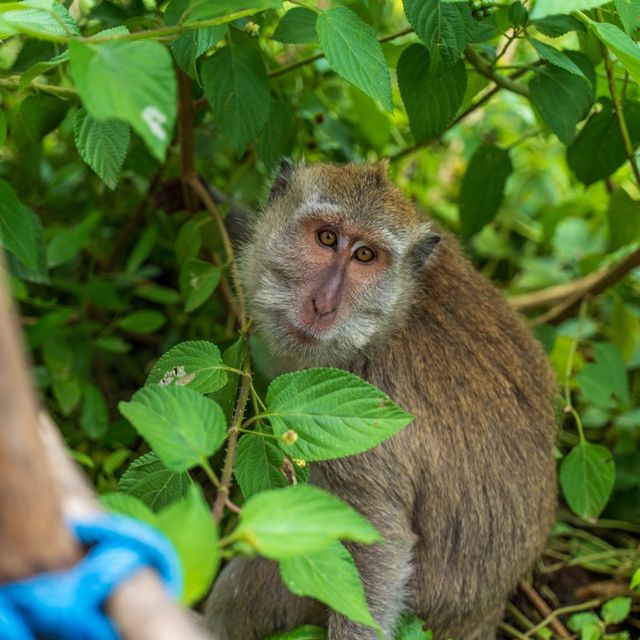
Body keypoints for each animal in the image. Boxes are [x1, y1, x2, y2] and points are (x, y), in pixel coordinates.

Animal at [205, 161, 556, 640]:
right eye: (327, 238)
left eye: (365, 256)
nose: (322, 305)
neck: (388, 320)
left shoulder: (371, 409)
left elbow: (377, 544)